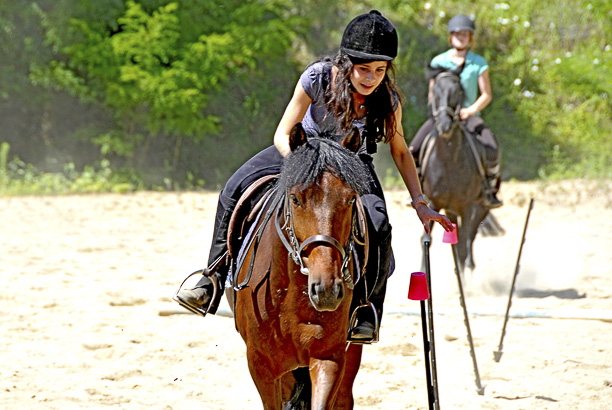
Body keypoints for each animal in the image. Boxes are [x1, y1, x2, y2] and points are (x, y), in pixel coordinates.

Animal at [420, 71, 492, 274]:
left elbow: (463, 243)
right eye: (435, 91)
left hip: (481, 207)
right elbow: (426, 240)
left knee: (471, 235)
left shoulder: (467, 207)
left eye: (458, 91)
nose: (444, 125)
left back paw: (469, 266)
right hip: (451, 210)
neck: (449, 161)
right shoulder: (434, 203)